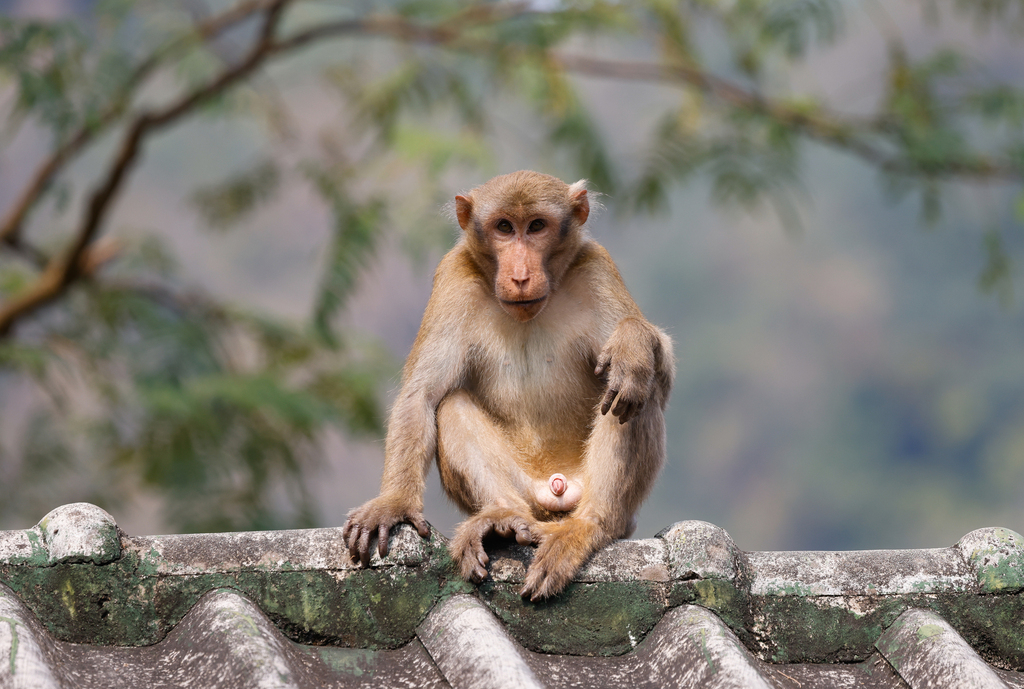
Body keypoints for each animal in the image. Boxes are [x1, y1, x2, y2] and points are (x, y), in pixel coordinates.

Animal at [342, 171, 674, 600]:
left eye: (536, 227)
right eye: (503, 227)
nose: (519, 275)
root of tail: (555, 488)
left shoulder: (596, 267)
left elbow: (659, 376)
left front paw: (632, 343)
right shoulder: (454, 277)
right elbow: (422, 396)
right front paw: (394, 503)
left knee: (634, 394)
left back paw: (587, 527)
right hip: (528, 493)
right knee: (451, 404)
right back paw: (501, 518)